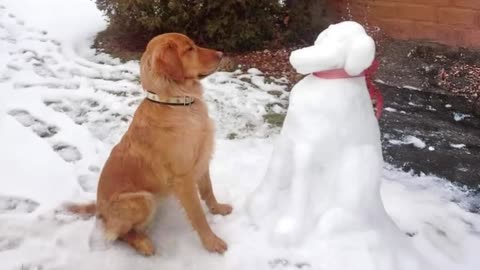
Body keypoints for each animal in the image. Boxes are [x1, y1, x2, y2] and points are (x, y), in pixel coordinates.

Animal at [68, 33, 232, 255]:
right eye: (189, 49)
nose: (221, 54)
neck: (177, 103)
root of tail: (99, 209)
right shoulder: (183, 177)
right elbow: (198, 216)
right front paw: (211, 242)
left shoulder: (202, 159)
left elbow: (208, 191)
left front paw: (218, 209)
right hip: (144, 199)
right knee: (120, 233)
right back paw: (143, 243)